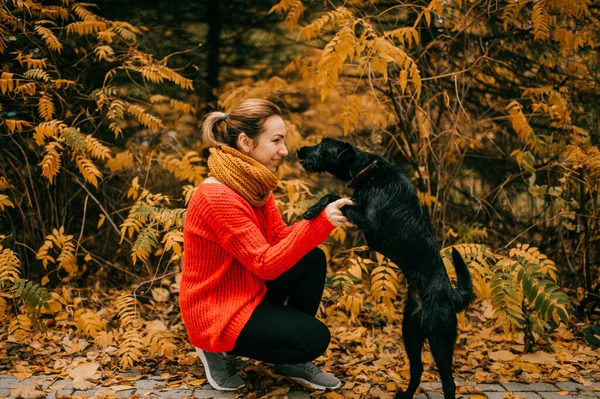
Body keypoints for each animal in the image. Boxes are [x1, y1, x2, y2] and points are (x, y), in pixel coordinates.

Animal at [298, 139, 476, 399]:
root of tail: (450, 295)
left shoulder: (370, 224)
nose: (299, 151)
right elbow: (333, 197)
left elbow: (335, 196)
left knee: (449, 383)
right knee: (418, 369)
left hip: (440, 339)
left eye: (322, 147)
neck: (367, 171)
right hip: (410, 333)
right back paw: (406, 394)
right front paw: (312, 210)